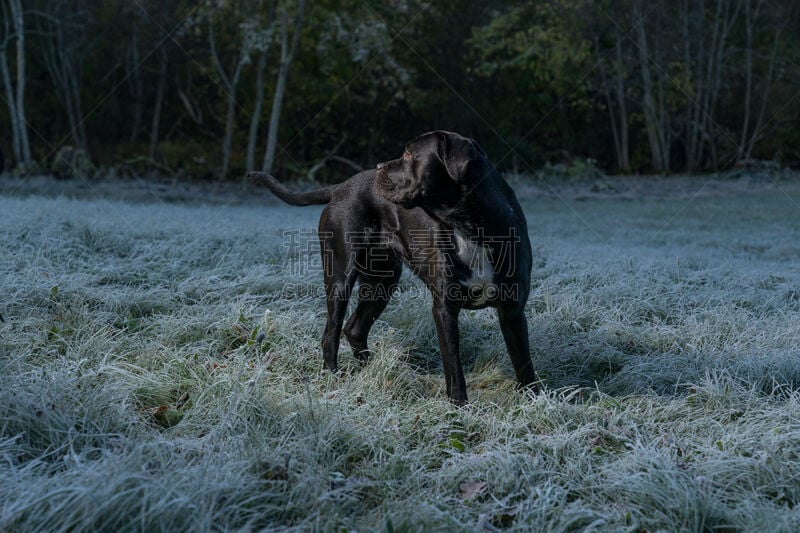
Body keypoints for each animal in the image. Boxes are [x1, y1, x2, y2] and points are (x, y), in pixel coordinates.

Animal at [248, 130, 536, 404]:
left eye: (409, 154)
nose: (379, 166)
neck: (470, 227)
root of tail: (341, 187)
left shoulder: (512, 309)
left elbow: (523, 361)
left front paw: (533, 399)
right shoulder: (445, 308)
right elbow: (454, 365)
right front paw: (459, 406)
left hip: (382, 283)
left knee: (354, 328)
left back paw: (374, 371)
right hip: (340, 276)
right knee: (331, 332)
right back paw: (332, 377)